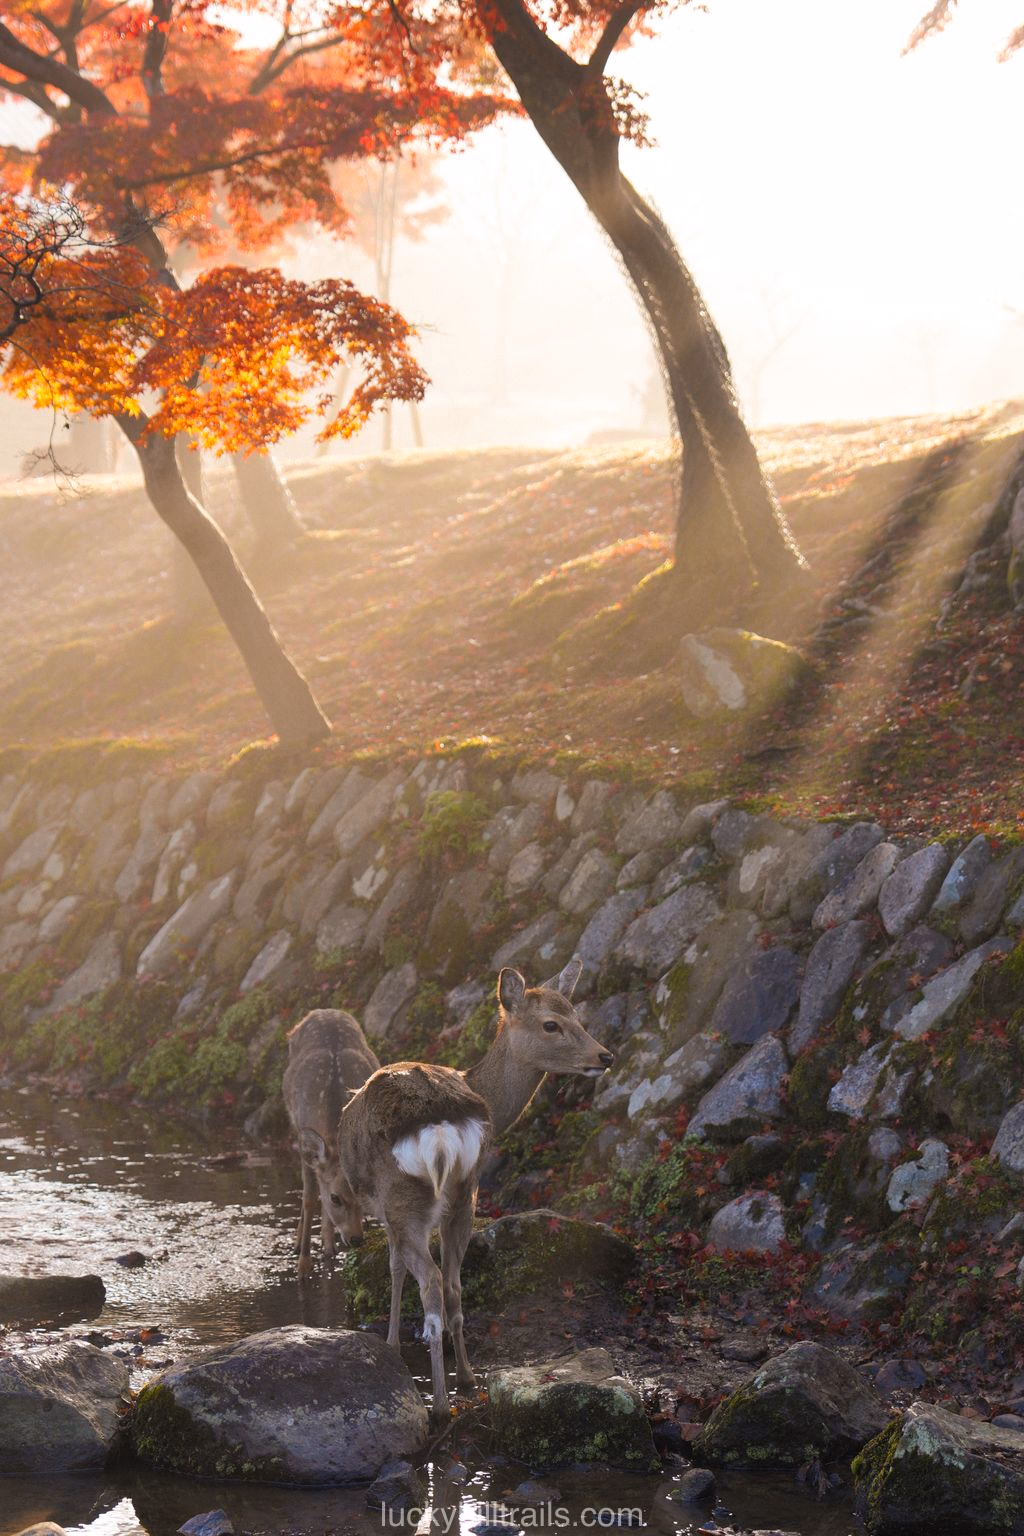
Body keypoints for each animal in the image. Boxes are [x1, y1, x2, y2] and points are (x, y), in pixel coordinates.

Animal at [282, 1008, 380, 1280]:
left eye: (363, 1196)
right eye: (336, 1198)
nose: (357, 1239)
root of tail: (324, 1011)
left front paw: (327, 1246)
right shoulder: (304, 1145)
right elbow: (309, 1198)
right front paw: (303, 1266)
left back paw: (328, 1244)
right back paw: (298, 1242)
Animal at [321, 957, 613, 1426]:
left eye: (577, 1017)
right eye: (553, 1023)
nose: (604, 1056)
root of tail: (441, 1131)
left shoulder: (385, 1209)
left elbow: (394, 1268)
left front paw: (391, 1345)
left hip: (405, 1197)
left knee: (430, 1283)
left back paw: (440, 1405)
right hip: (464, 1194)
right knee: (453, 1282)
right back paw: (468, 1377)